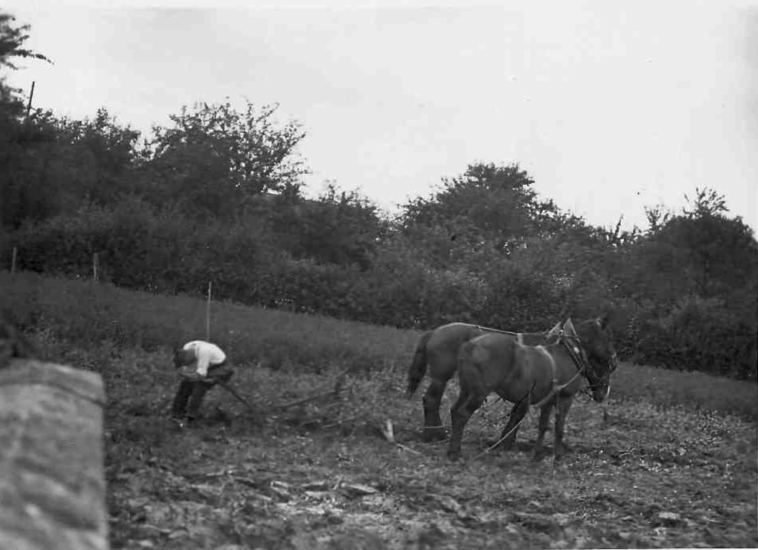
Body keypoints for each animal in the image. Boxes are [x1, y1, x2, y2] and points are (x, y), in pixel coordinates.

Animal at [452, 316, 616, 464]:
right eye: (608, 337)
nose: (614, 363)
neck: (569, 353)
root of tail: (470, 345)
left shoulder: (548, 400)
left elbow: (543, 426)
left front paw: (537, 455)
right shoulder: (565, 398)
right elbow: (559, 427)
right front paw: (557, 457)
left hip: (466, 390)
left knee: (454, 411)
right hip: (478, 394)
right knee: (462, 414)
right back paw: (455, 453)